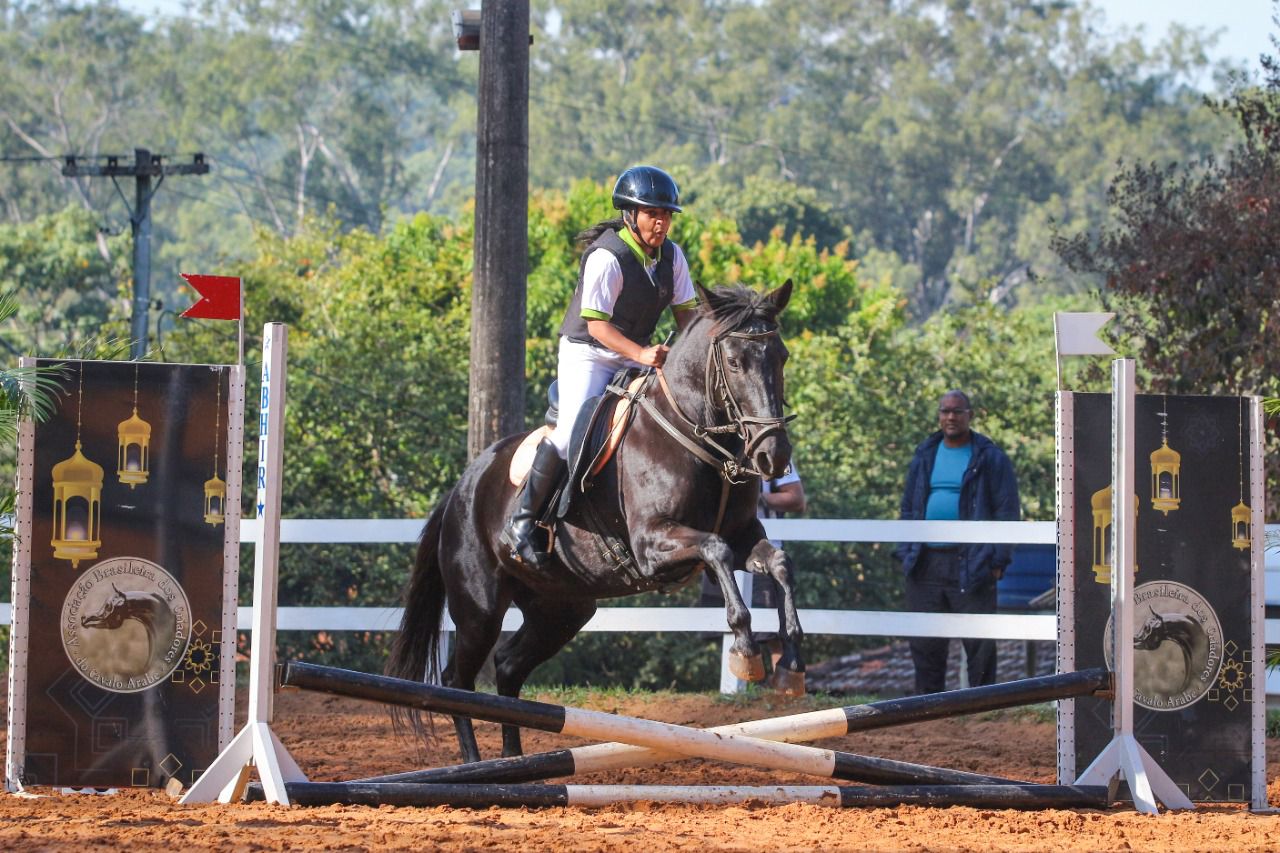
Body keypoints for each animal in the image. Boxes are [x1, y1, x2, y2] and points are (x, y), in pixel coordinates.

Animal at [386, 279, 798, 758]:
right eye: (733, 362)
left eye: (781, 356)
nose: (774, 457)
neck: (694, 435)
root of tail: (460, 489)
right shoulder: (652, 544)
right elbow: (717, 550)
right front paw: (746, 651)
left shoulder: (743, 535)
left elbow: (777, 562)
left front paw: (792, 660)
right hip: (479, 609)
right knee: (457, 681)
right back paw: (472, 764)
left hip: (562, 609)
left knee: (508, 666)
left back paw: (514, 759)